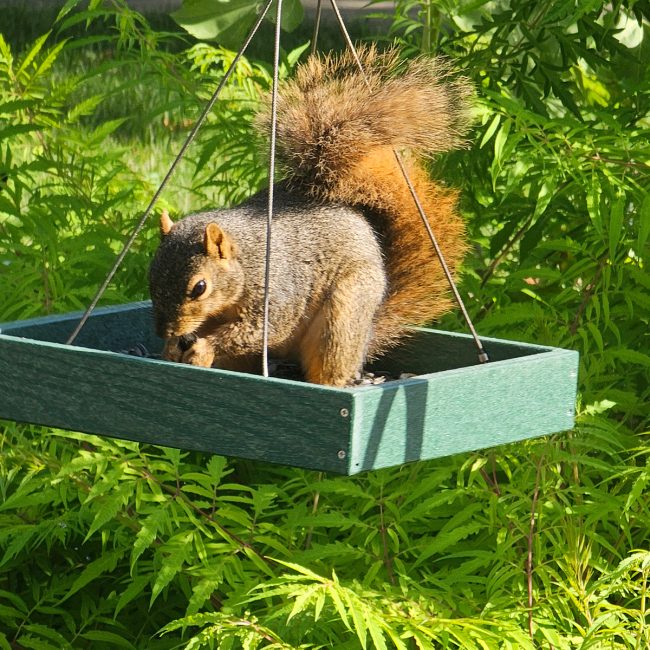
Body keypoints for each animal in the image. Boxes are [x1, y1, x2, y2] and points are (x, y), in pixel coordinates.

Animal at [148, 46, 473, 387]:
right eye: (151, 277)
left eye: (199, 287)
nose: (165, 331)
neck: (246, 261)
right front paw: (173, 347)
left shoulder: (278, 291)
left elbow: (264, 327)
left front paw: (202, 347)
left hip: (343, 314)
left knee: (330, 361)